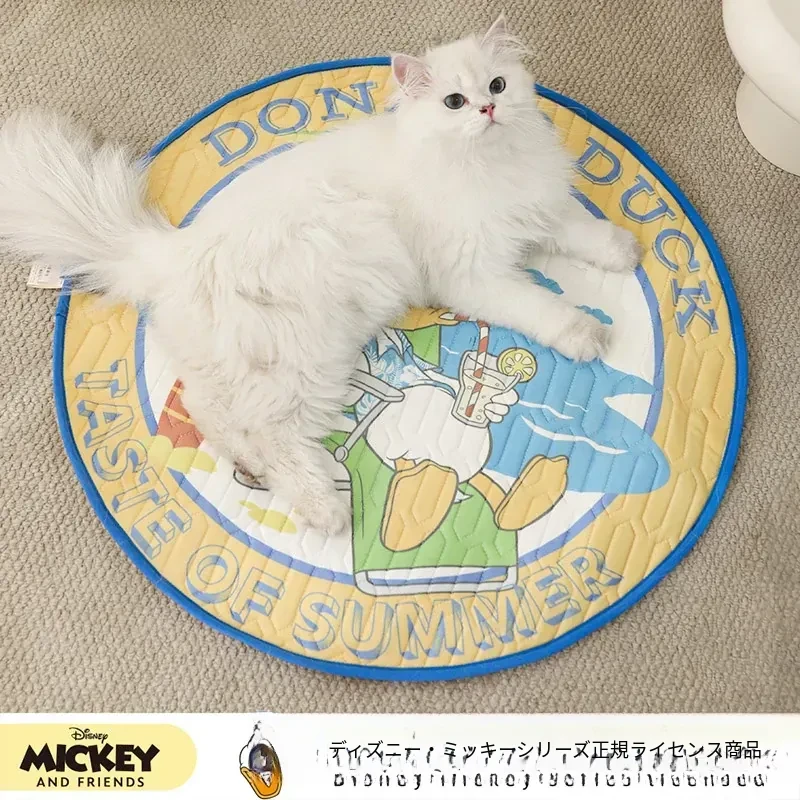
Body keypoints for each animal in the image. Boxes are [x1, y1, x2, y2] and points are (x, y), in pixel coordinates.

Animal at [0, 15, 640, 534]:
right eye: (455, 102)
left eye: (499, 86)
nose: (487, 110)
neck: (489, 165)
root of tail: (174, 251)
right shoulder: (472, 273)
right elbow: (541, 306)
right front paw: (587, 334)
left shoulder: (537, 211)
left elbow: (581, 231)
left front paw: (624, 249)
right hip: (309, 360)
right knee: (271, 436)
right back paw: (323, 510)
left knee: (216, 415)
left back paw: (256, 471)